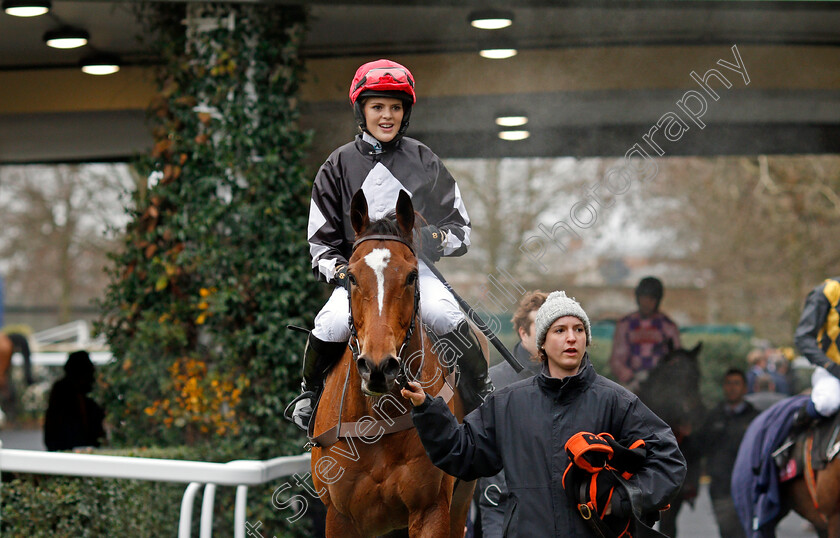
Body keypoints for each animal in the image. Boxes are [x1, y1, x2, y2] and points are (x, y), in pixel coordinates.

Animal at [310, 191, 480, 532]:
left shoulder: (431, 509)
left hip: (461, 500)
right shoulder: (339, 515)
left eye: (412, 275)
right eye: (350, 276)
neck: (379, 418)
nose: (378, 367)